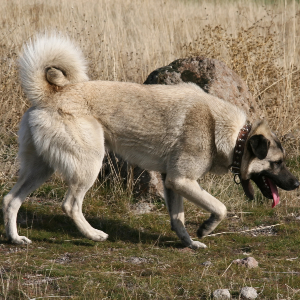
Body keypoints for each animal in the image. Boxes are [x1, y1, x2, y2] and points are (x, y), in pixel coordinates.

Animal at [2, 34, 300, 248]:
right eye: (277, 163)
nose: (296, 183)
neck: (233, 135)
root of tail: (49, 94)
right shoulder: (182, 180)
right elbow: (220, 207)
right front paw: (206, 228)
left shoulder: (172, 182)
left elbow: (178, 218)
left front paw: (189, 243)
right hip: (88, 164)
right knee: (70, 204)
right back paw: (94, 235)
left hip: (41, 168)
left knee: (10, 200)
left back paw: (16, 239)